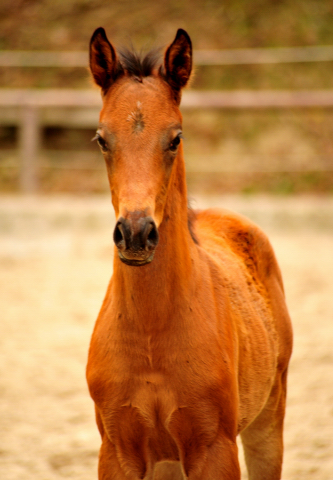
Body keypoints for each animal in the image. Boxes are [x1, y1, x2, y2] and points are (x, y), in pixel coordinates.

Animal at [87, 28, 292, 478]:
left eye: (175, 138)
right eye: (102, 138)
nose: (135, 234)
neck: (151, 332)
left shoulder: (214, 449)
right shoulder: (116, 450)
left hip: (268, 420)